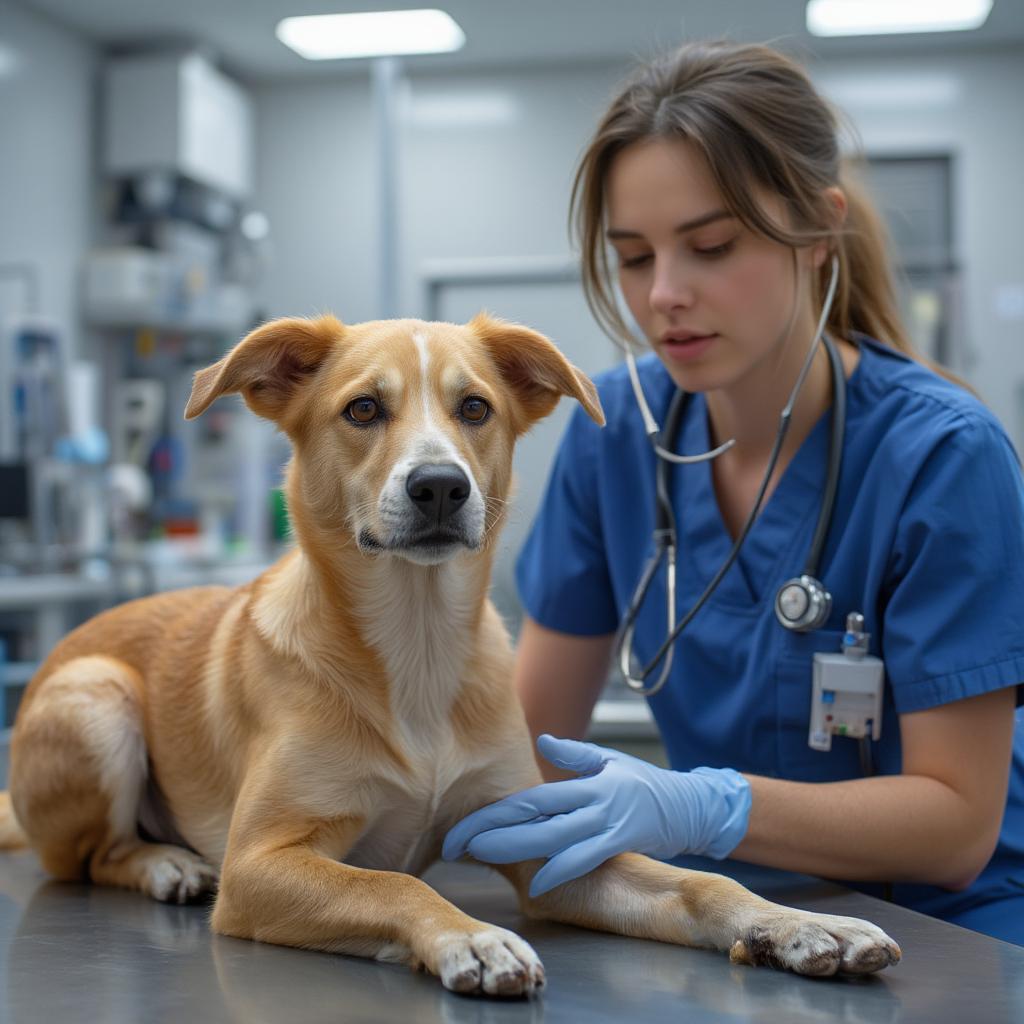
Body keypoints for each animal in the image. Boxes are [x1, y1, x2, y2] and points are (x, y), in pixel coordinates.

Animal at [0, 315, 897, 995]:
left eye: (474, 407)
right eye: (363, 410)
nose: (439, 485)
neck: (418, 647)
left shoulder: (544, 843)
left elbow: (703, 881)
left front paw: (796, 923)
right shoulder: (259, 864)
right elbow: (390, 879)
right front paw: (471, 936)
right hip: (96, 694)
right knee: (90, 858)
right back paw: (167, 865)